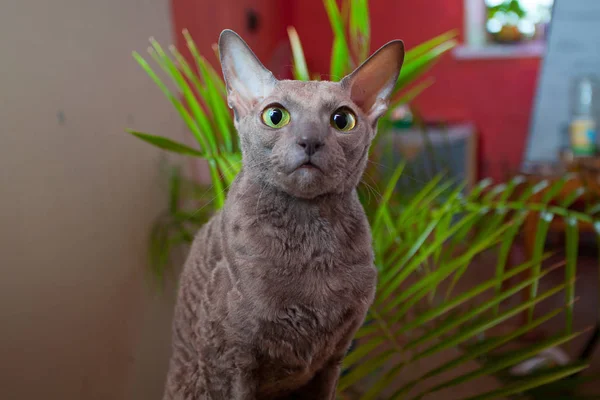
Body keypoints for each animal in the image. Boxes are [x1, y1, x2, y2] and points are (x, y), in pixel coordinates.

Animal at [164, 29, 406, 398]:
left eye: (342, 120)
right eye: (275, 116)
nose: (310, 140)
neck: (311, 241)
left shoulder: (332, 359)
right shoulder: (231, 366)